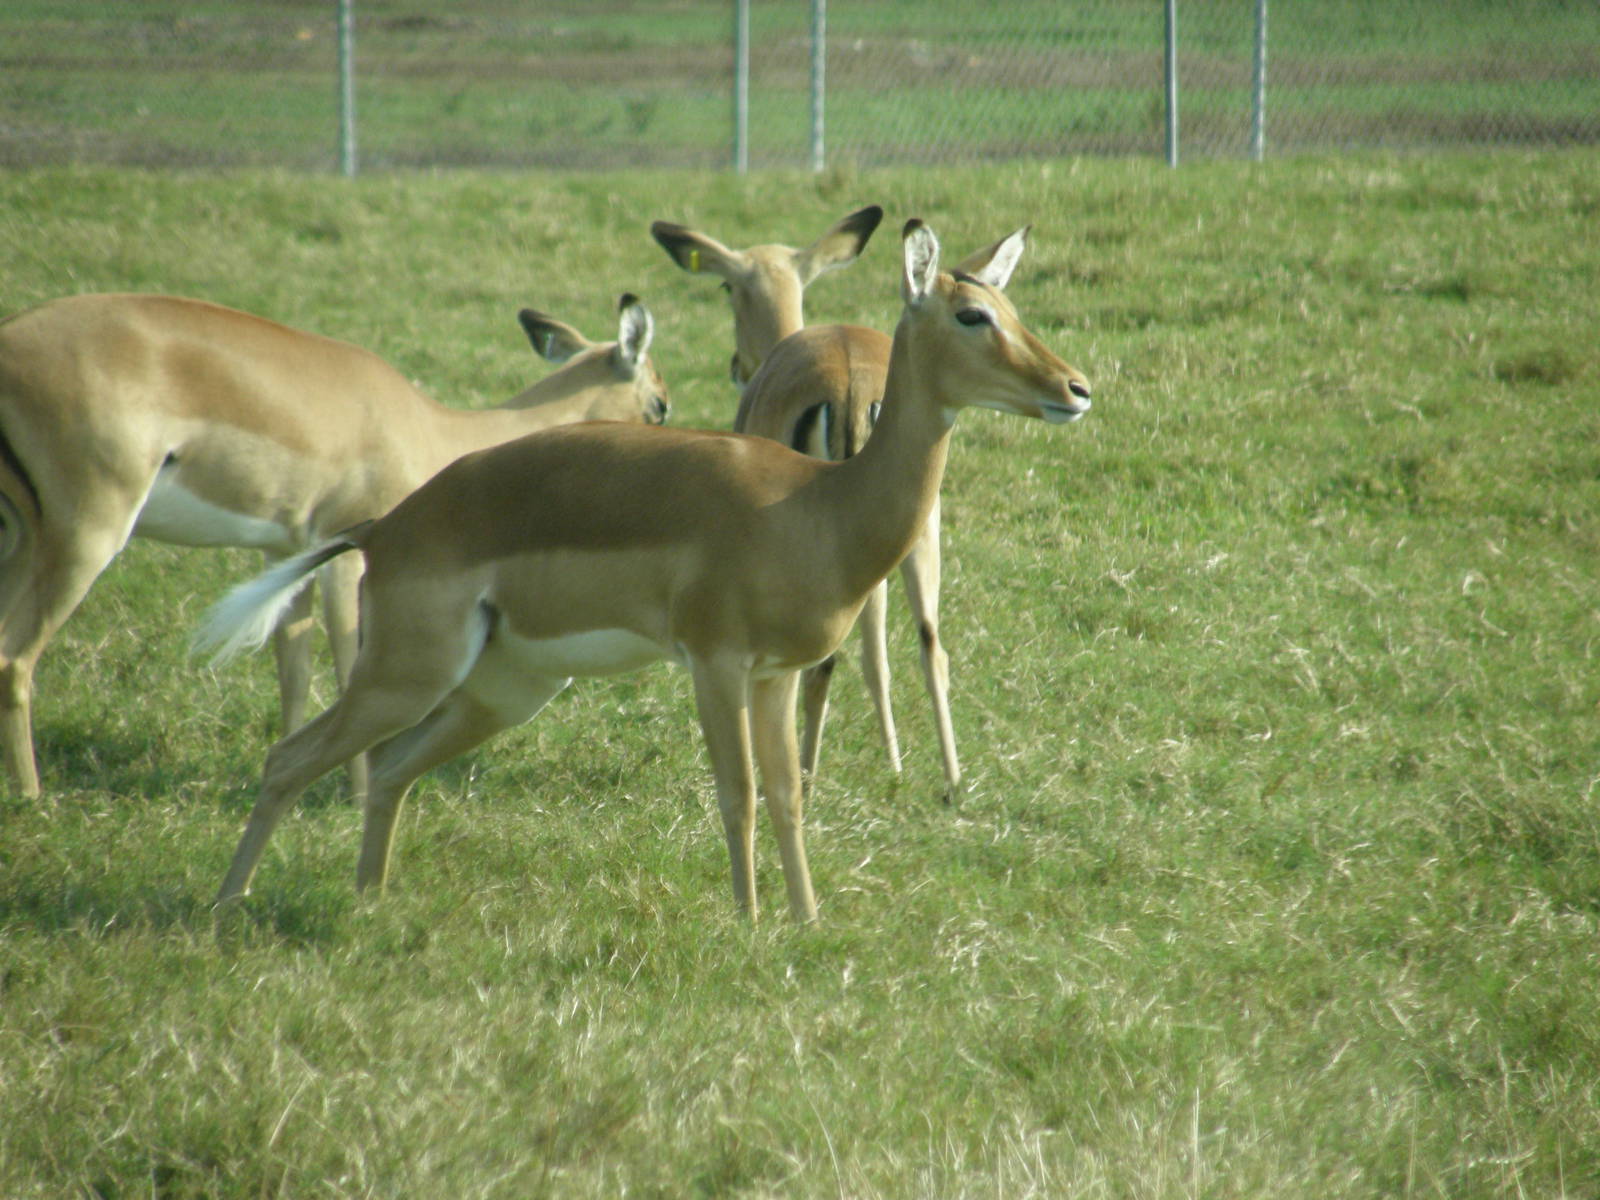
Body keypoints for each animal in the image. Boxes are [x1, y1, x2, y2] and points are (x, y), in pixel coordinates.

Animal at [0, 291, 668, 799]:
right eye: (659, 403)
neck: (437, 427)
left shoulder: (285, 555)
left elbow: (292, 672)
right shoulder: (352, 560)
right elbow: (348, 668)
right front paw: (358, 792)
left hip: (22, 539)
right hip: (88, 534)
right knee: (16, 656)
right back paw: (34, 798)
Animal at [653, 206, 971, 801]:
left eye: (727, 285)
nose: (735, 364)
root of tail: (850, 383)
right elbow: (877, 655)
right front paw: (895, 764)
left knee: (821, 663)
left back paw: (804, 773)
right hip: (922, 535)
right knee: (929, 642)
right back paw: (953, 780)